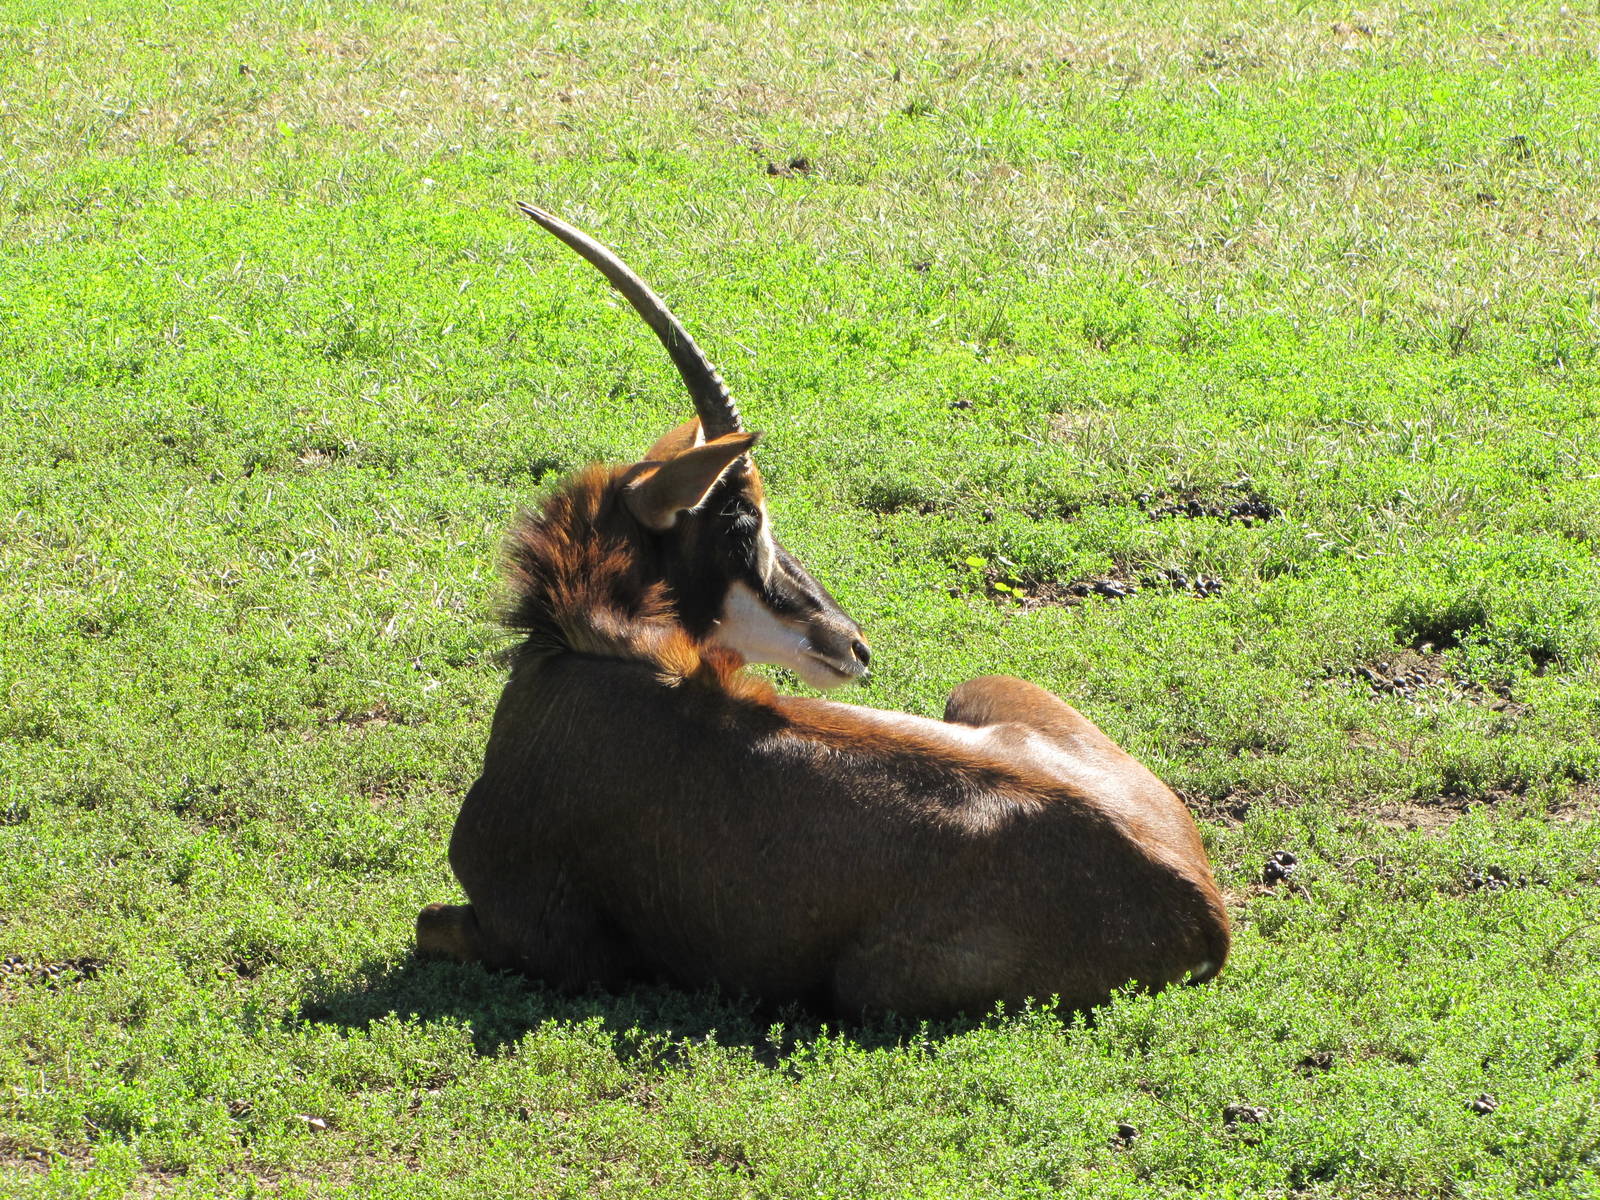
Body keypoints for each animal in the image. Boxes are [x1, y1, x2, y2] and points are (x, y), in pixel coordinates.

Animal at [416, 204, 1229, 1017]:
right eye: (743, 526)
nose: (853, 645)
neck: (585, 655)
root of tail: (1202, 911)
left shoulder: (550, 947)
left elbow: (430, 924)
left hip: (865, 985)